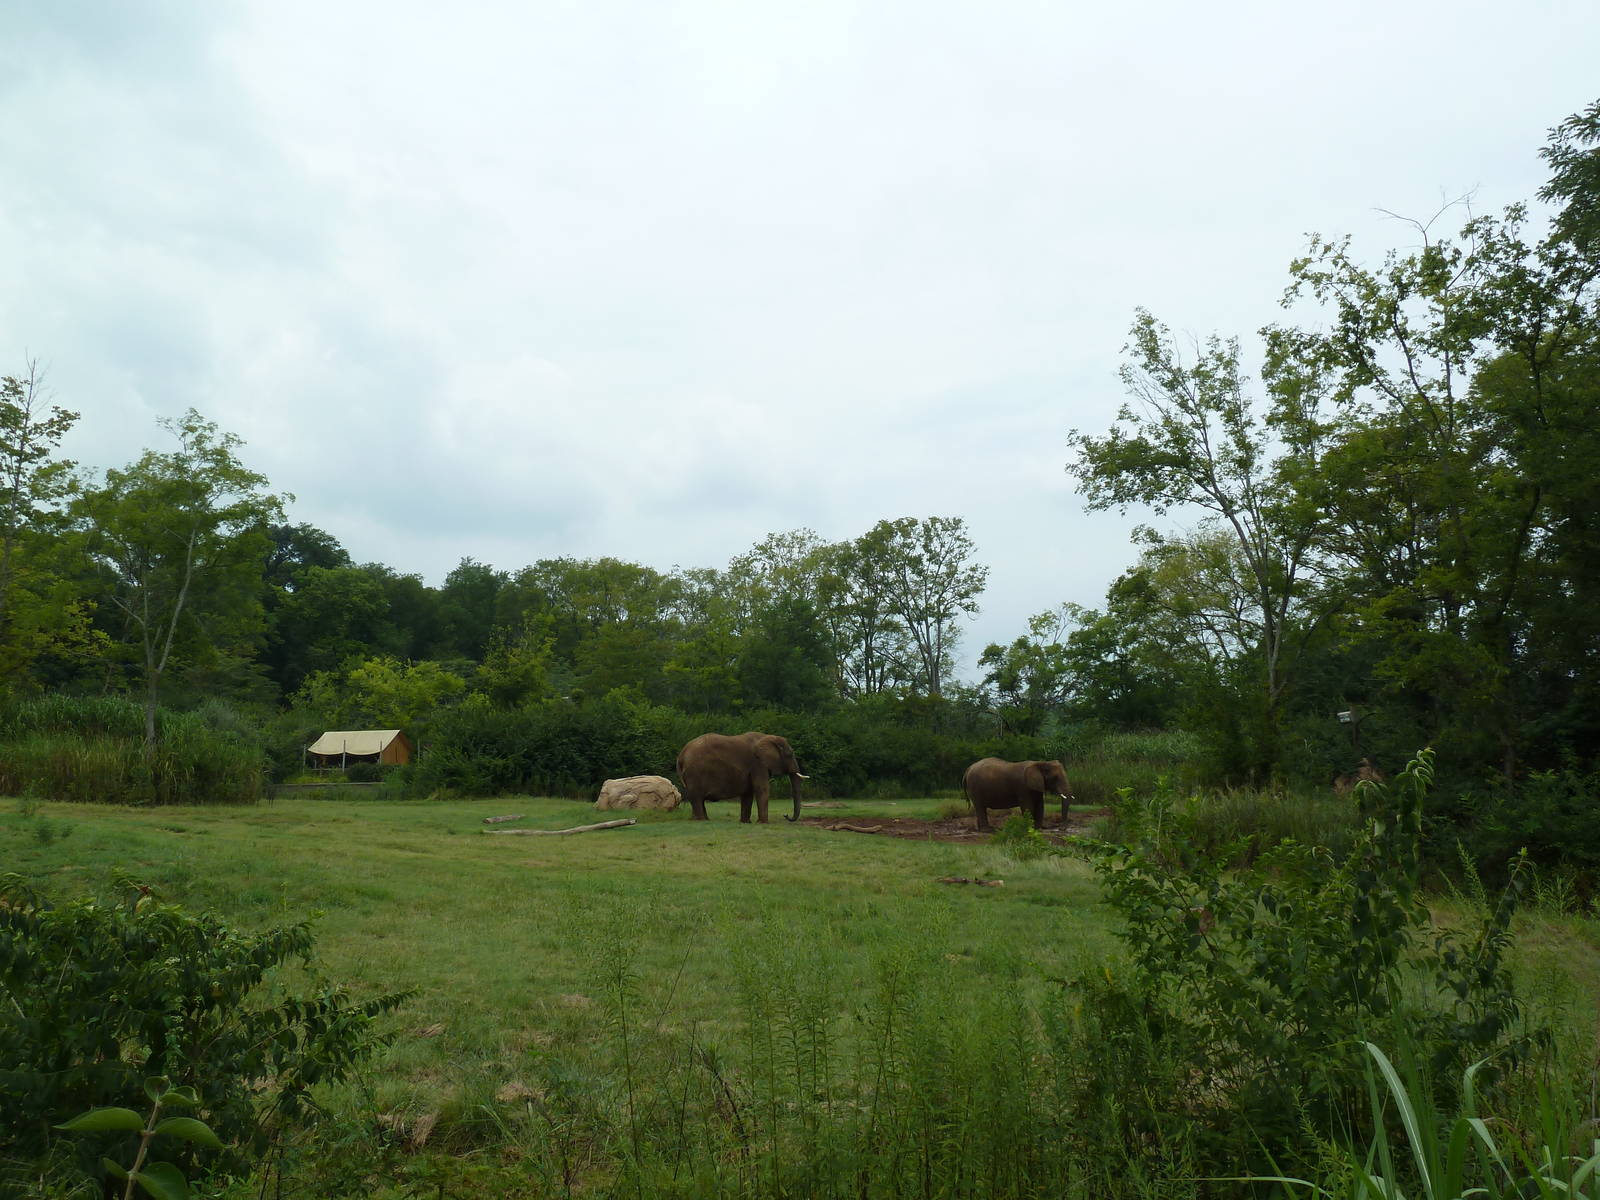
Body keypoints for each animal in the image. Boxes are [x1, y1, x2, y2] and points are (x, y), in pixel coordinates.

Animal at [676, 732, 808, 823]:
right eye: (790, 754)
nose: (785, 815)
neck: (768, 737)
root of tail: (681, 755)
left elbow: (747, 793)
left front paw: (746, 822)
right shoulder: (758, 764)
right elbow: (761, 789)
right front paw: (763, 823)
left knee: (698, 798)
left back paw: (703, 819)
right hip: (695, 773)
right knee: (697, 797)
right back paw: (701, 820)